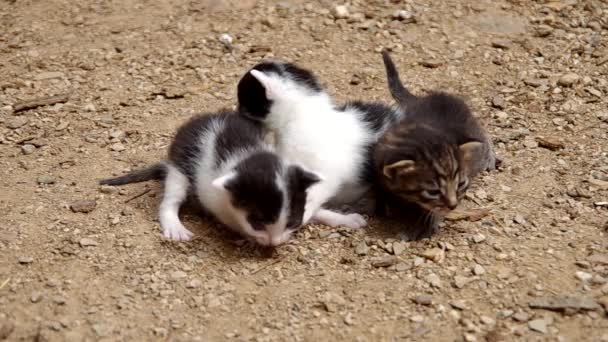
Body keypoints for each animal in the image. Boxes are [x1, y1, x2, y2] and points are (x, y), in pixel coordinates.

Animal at [99, 111, 318, 247]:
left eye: (292, 222)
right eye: (257, 223)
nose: (274, 243)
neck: (248, 155)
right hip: (179, 169)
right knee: (171, 199)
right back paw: (175, 227)